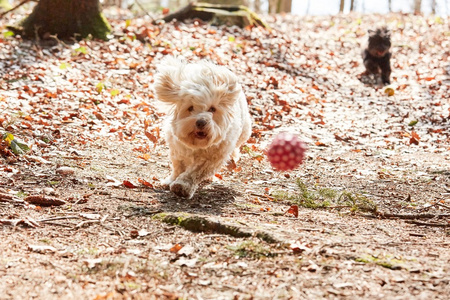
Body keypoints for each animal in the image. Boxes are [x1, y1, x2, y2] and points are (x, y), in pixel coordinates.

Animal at [153, 56, 251, 199]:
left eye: (212, 109)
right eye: (190, 108)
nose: (201, 122)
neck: (198, 145)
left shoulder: (211, 159)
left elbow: (194, 173)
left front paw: (182, 186)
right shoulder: (178, 150)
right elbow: (178, 167)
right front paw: (171, 180)